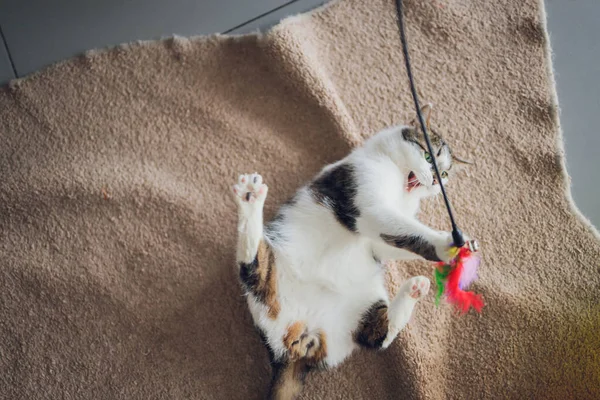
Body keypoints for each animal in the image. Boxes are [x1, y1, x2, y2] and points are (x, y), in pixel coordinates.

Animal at [231, 104, 468, 400]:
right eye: (428, 156)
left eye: (445, 175)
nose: (436, 180)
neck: (401, 192)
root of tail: (293, 347)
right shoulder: (367, 204)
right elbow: (407, 231)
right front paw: (447, 243)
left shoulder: (381, 240)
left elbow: (397, 241)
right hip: (271, 274)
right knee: (251, 266)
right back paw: (250, 198)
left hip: (362, 308)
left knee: (377, 336)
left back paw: (415, 289)